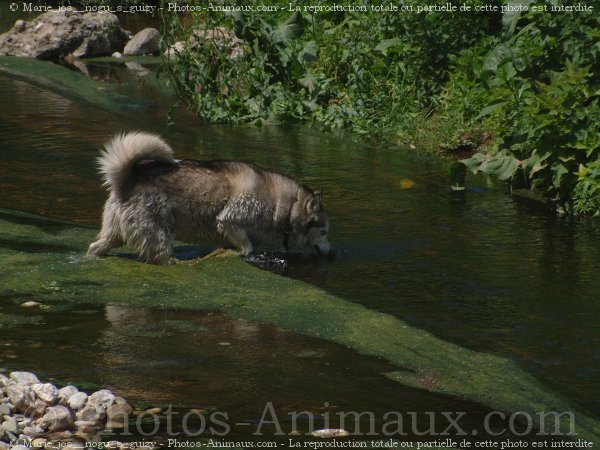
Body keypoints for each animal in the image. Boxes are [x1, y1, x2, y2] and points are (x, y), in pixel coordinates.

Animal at [86, 131, 332, 264]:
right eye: (323, 232)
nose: (333, 252)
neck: (289, 205)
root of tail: (127, 178)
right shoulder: (229, 219)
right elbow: (247, 248)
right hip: (159, 232)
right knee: (161, 256)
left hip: (115, 233)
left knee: (95, 246)